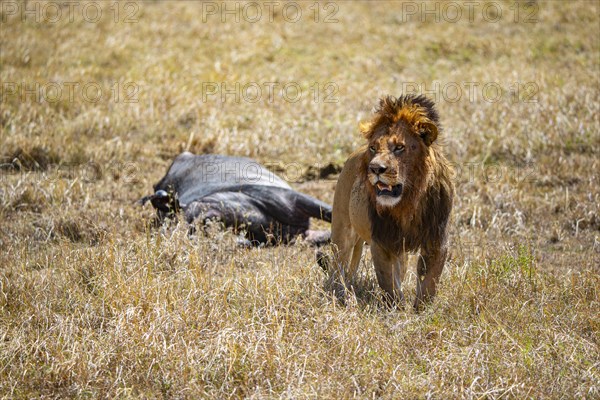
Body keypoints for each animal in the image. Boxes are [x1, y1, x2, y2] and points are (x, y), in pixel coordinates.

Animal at [324, 94, 454, 310]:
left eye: (399, 147)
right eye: (374, 148)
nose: (375, 168)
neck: (408, 203)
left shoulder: (436, 238)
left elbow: (429, 281)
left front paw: (421, 311)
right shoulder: (382, 240)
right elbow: (389, 284)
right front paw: (398, 311)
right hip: (342, 230)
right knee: (338, 266)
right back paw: (340, 295)